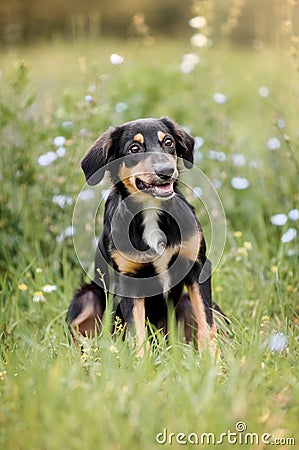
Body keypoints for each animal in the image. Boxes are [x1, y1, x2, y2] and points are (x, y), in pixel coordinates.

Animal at [67, 116, 219, 356]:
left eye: (168, 142)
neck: (151, 210)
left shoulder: (197, 265)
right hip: (87, 298)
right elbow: (136, 334)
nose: (166, 171)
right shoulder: (129, 282)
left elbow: (207, 322)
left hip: (185, 303)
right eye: (134, 149)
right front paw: (142, 362)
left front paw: (213, 360)